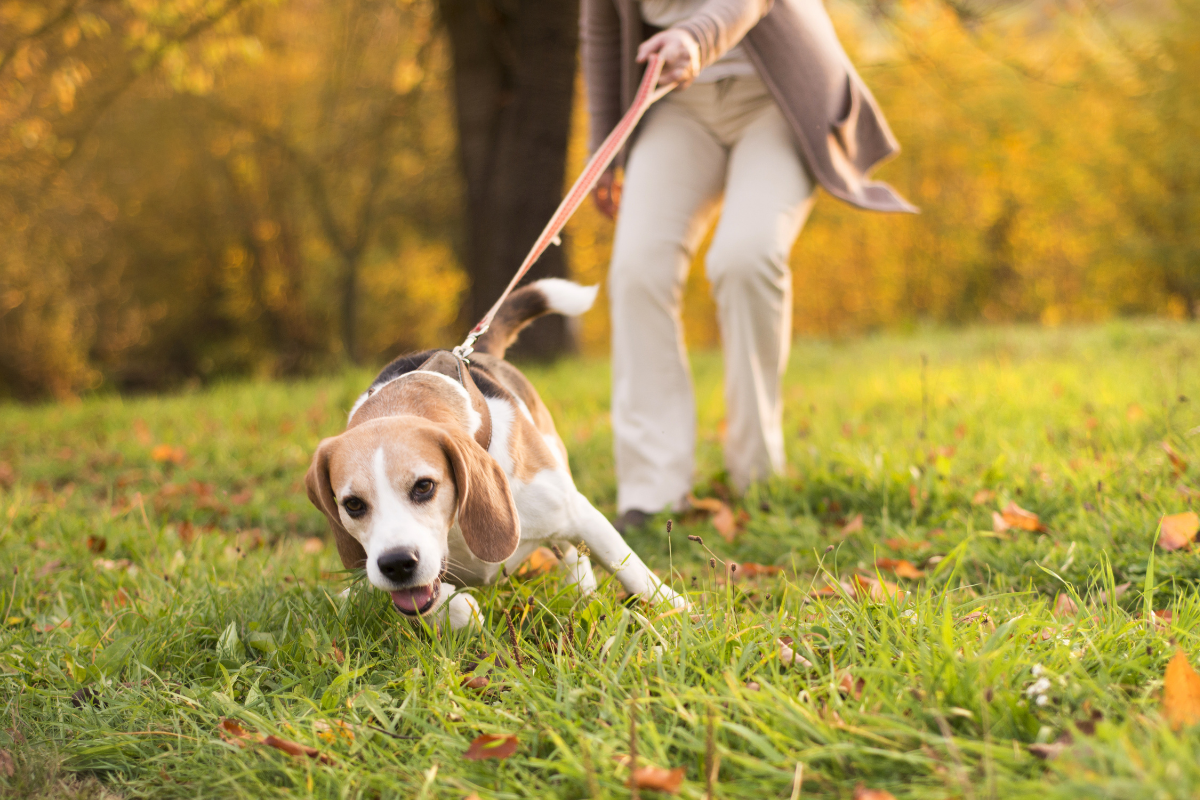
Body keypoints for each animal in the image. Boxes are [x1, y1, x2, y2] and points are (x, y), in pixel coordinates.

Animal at [304, 278, 686, 628]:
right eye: (353, 505)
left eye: (424, 486)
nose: (397, 564)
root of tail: (476, 350)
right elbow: (435, 601)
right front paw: (459, 609)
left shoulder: (578, 513)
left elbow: (630, 568)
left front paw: (677, 611)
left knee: (573, 554)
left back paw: (584, 590)